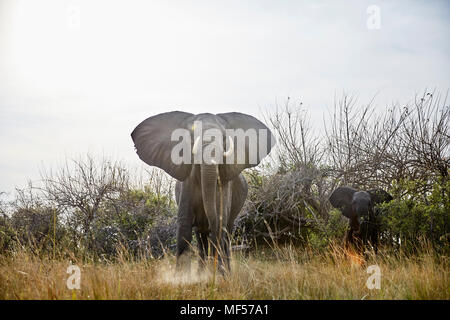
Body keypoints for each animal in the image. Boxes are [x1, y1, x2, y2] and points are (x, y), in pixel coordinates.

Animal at [131, 111, 274, 274]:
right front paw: (181, 277)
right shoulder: (187, 184)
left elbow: (220, 220)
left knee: (226, 232)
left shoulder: (224, 185)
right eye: (192, 138)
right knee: (201, 238)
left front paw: (220, 274)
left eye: (224, 138)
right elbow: (185, 223)